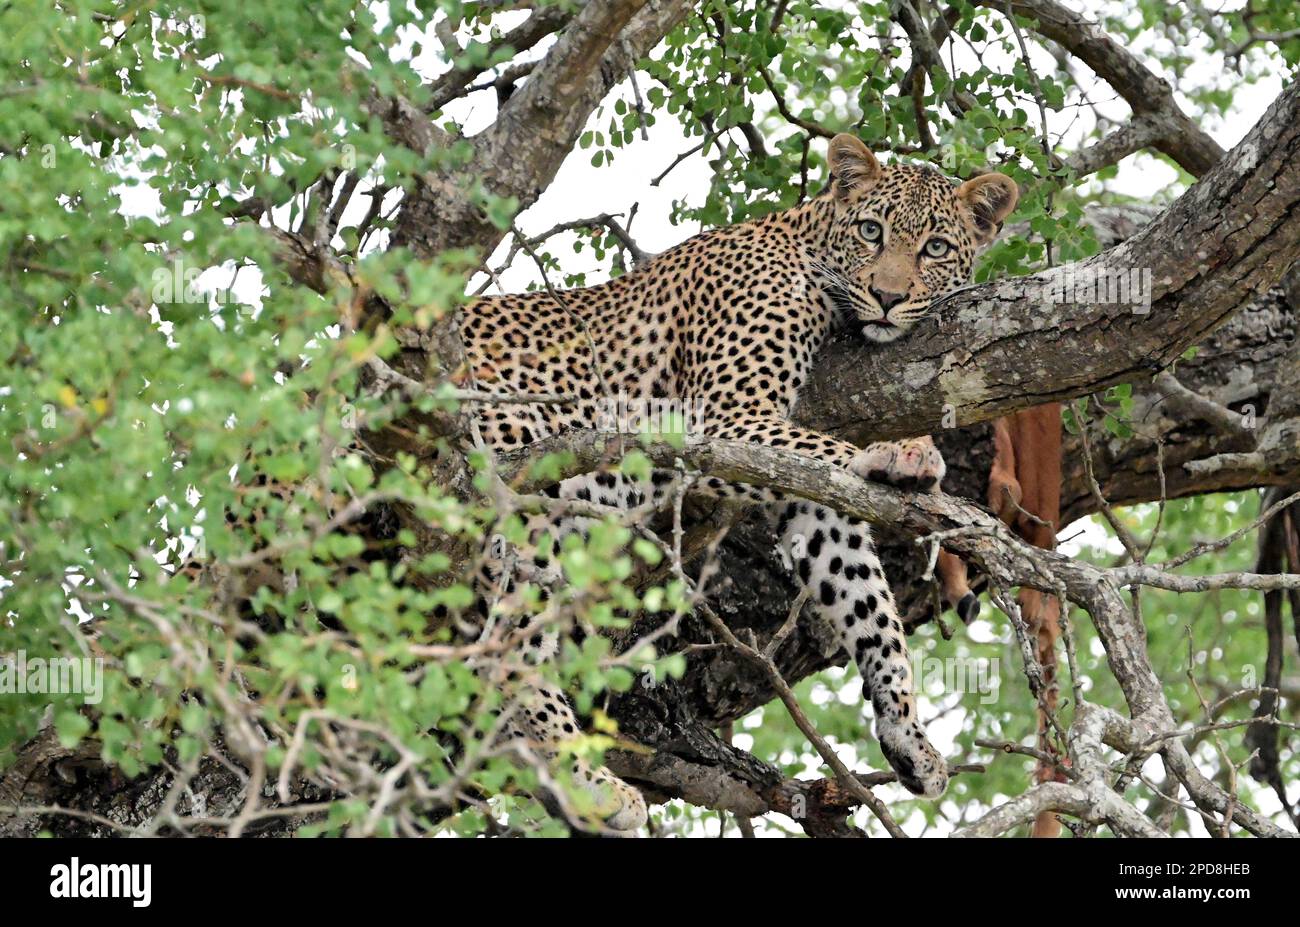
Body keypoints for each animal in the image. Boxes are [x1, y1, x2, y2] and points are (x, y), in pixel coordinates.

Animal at [457, 133, 1013, 837]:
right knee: (506, 650)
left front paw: (907, 733)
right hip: (515, 474)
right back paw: (586, 779)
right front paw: (903, 453)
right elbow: (833, 451)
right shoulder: (725, 420)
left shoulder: (812, 500)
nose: (887, 296)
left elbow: (868, 604)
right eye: (872, 231)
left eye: (935, 247)